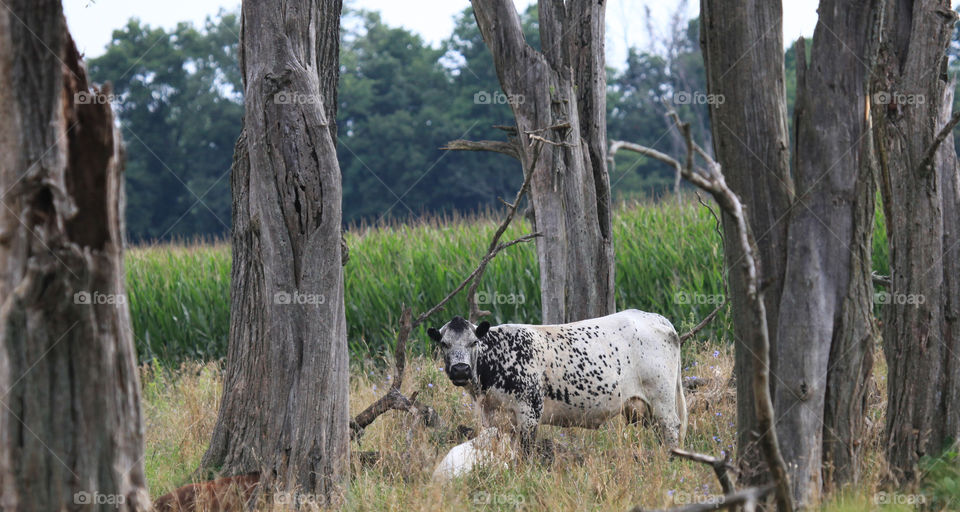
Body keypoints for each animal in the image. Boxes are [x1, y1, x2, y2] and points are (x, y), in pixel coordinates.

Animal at [428, 310, 687, 453]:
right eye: (444, 344)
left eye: (473, 342)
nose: (460, 369)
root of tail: (656, 318)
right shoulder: (493, 416)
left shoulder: (529, 412)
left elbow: (526, 450)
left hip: (662, 400)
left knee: (671, 428)